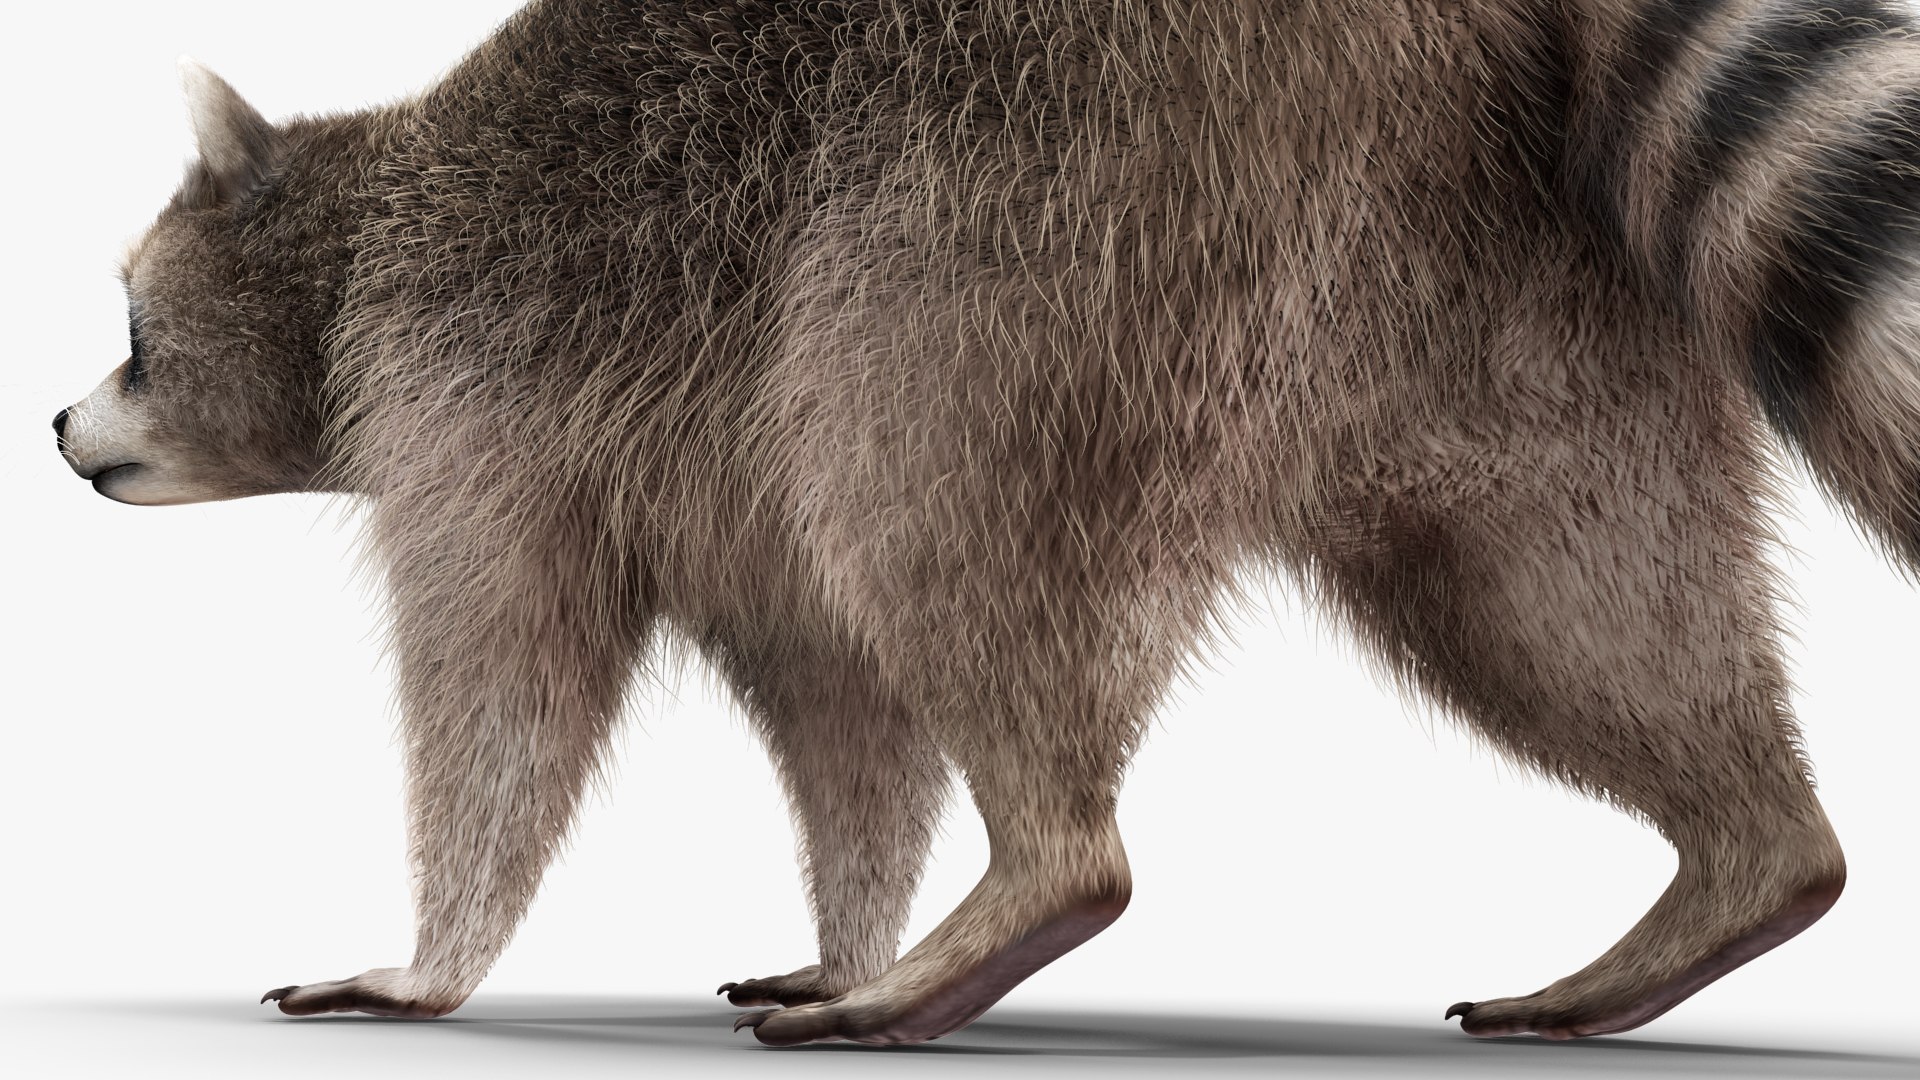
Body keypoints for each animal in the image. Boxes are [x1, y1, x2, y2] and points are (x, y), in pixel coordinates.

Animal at [54, 0, 1915, 1045]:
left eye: (134, 332)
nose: (61, 429)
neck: (364, 221)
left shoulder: (470, 393)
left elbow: (506, 687)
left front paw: (436, 955)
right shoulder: (683, 460)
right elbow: (839, 709)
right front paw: (847, 922)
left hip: (1052, 198)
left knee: (920, 490)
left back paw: (1045, 864)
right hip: (1484, 252)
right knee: (1553, 588)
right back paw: (1749, 847)